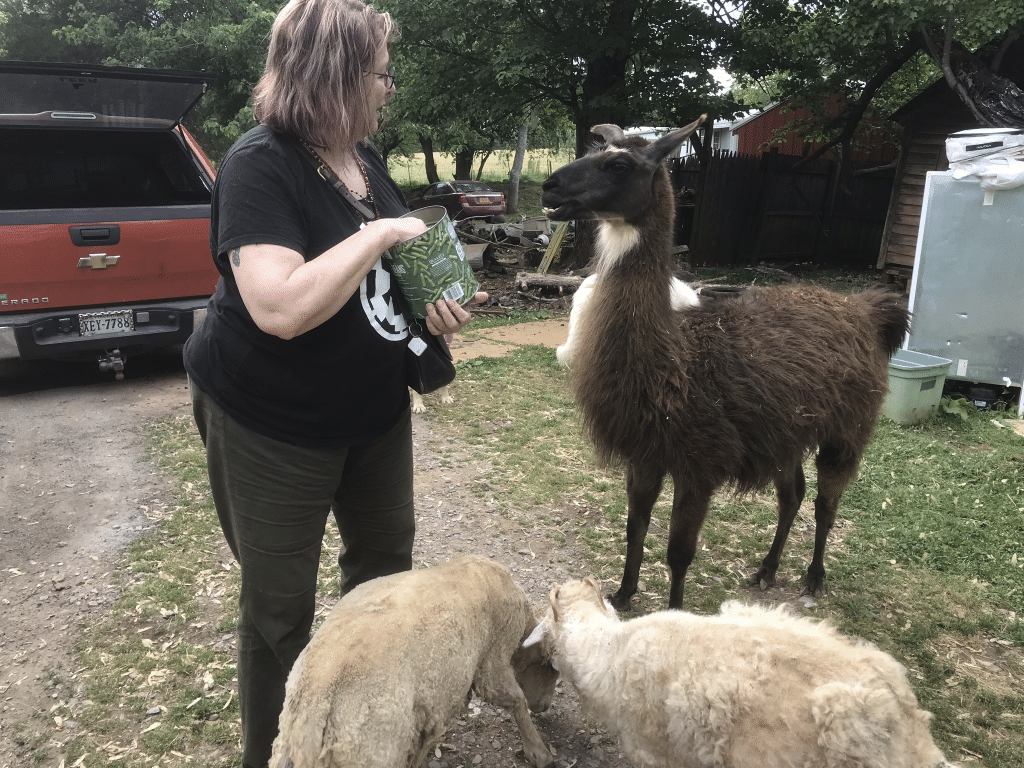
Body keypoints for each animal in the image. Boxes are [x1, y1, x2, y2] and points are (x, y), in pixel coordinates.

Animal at [272, 557, 557, 768]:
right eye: (552, 670)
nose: (544, 707)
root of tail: (315, 705)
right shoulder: (492, 659)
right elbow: (515, 699)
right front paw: (539, 752)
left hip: (284, 750)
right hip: (374, 752)